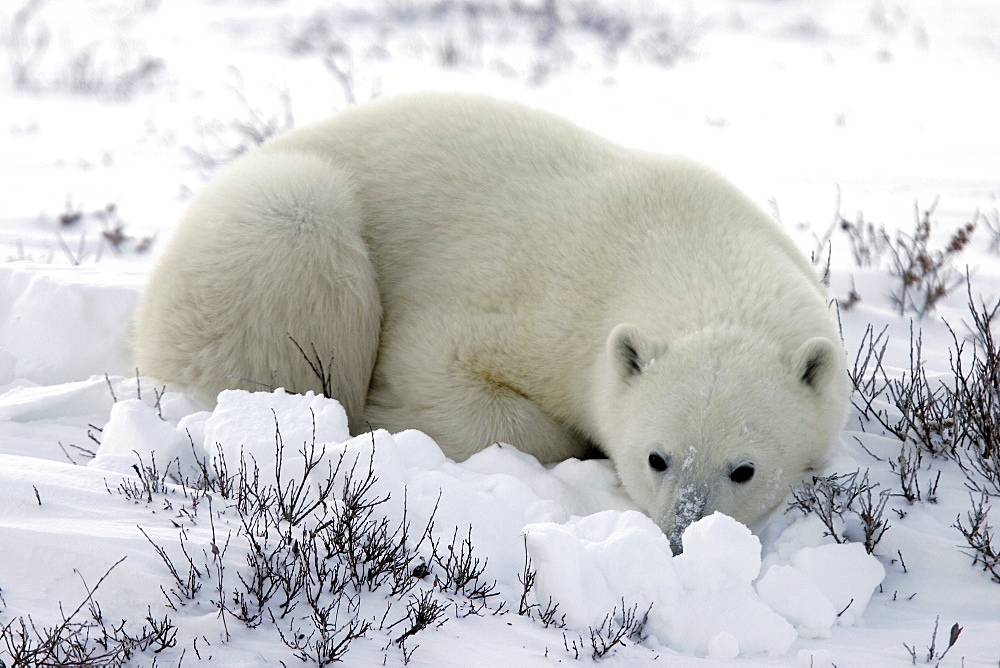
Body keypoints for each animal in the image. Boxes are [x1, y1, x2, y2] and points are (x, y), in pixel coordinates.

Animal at [137, 94, 848, 552]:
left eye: (744, 469)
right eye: (657, 457)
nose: (682, 536)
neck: (678, 241)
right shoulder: (532, 300)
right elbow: (430, 372)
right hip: (268, 231)